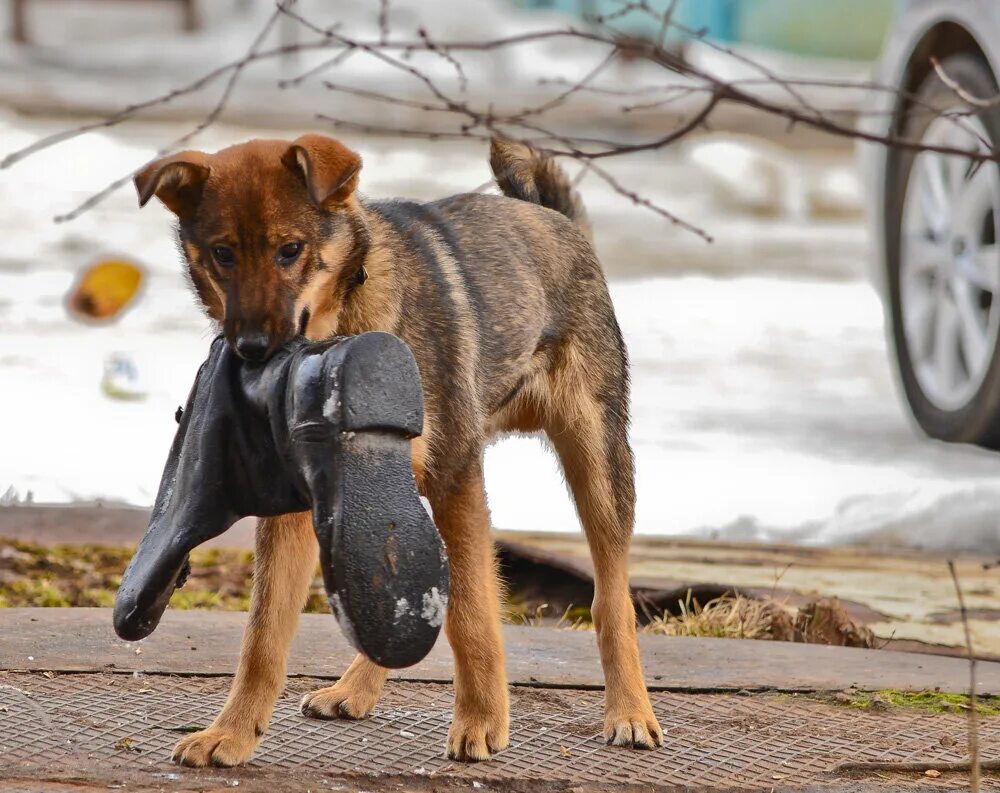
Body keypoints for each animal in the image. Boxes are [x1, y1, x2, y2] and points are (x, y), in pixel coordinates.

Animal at [135, 133, 664, 764]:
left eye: (290, 250)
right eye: (222, 254)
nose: (253, 351)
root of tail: (552, 218)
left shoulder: (457, 474)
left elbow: (471, 611)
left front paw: (481, 720)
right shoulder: (297, 510)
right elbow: (263, 635)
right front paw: (232, 734)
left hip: (598, 462)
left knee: (611, 597)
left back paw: (629, 711)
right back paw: (354, 689)